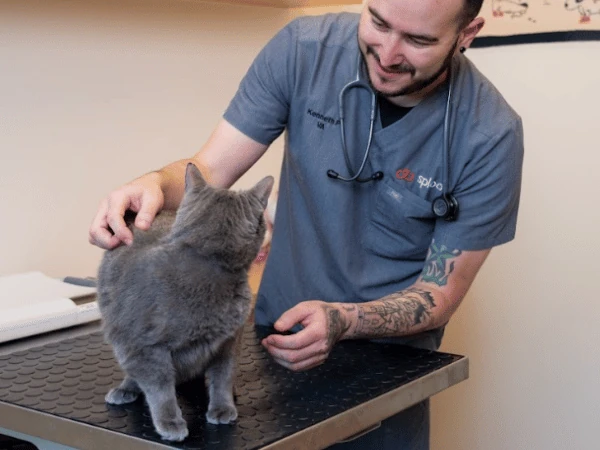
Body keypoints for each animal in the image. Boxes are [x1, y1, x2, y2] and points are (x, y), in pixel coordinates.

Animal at [96, 163, 274, 442]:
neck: (209, 263)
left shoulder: (229, 342)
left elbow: (223, 376)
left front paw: (222, 407)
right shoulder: (144, 347)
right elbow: (160, 389)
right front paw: (170, 422)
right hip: (121, 337)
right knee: (134, 371)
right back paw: (126, 389)